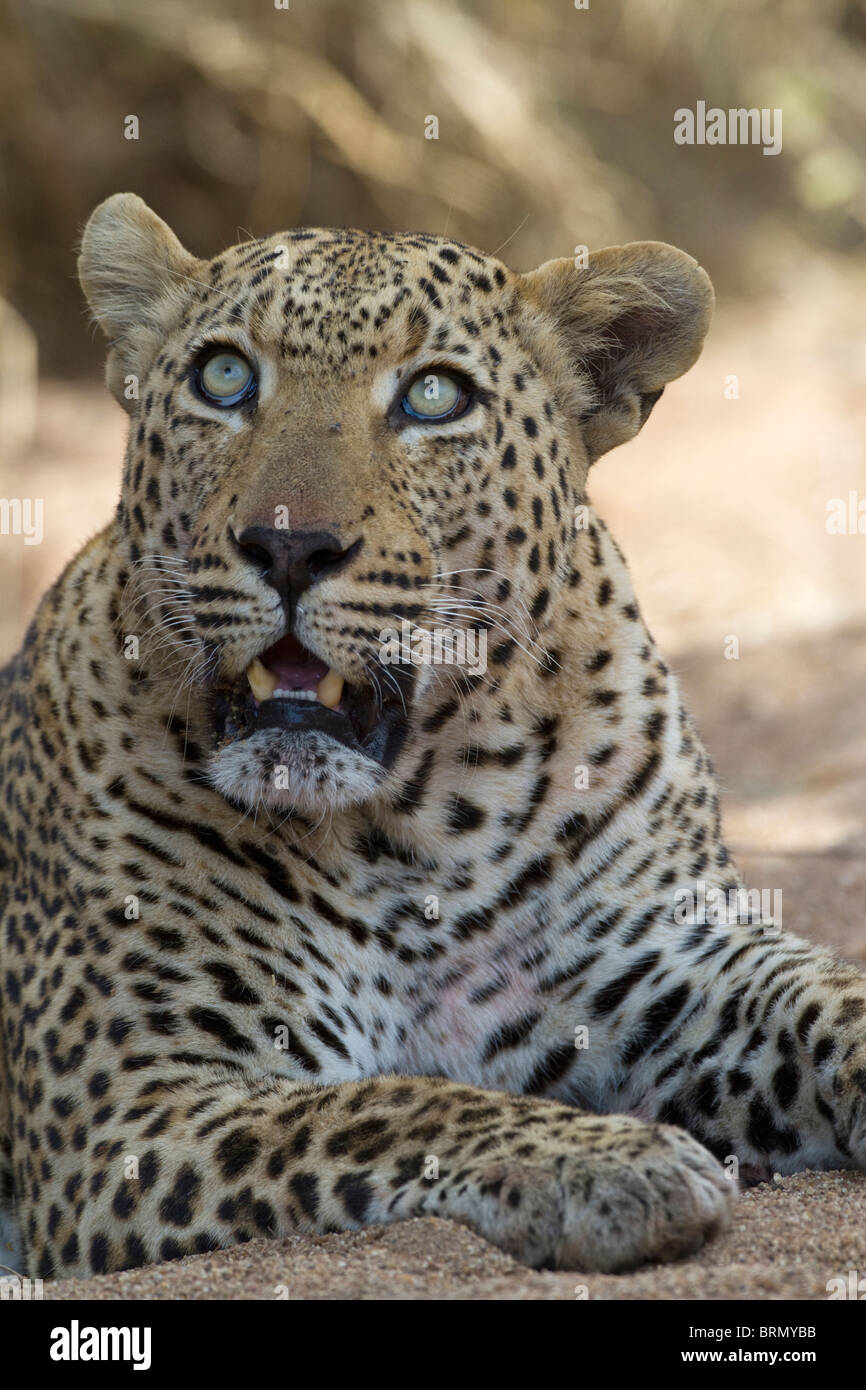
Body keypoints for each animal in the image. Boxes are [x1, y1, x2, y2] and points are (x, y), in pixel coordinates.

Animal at [0, 187, 861, 1278]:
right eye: (224, 377)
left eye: (434, 397)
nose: (288, 545)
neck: (413, 827)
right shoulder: (128, 1105)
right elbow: (388, 1104)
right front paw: (607, 1161)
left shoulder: (670, 959)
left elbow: (829, 995)